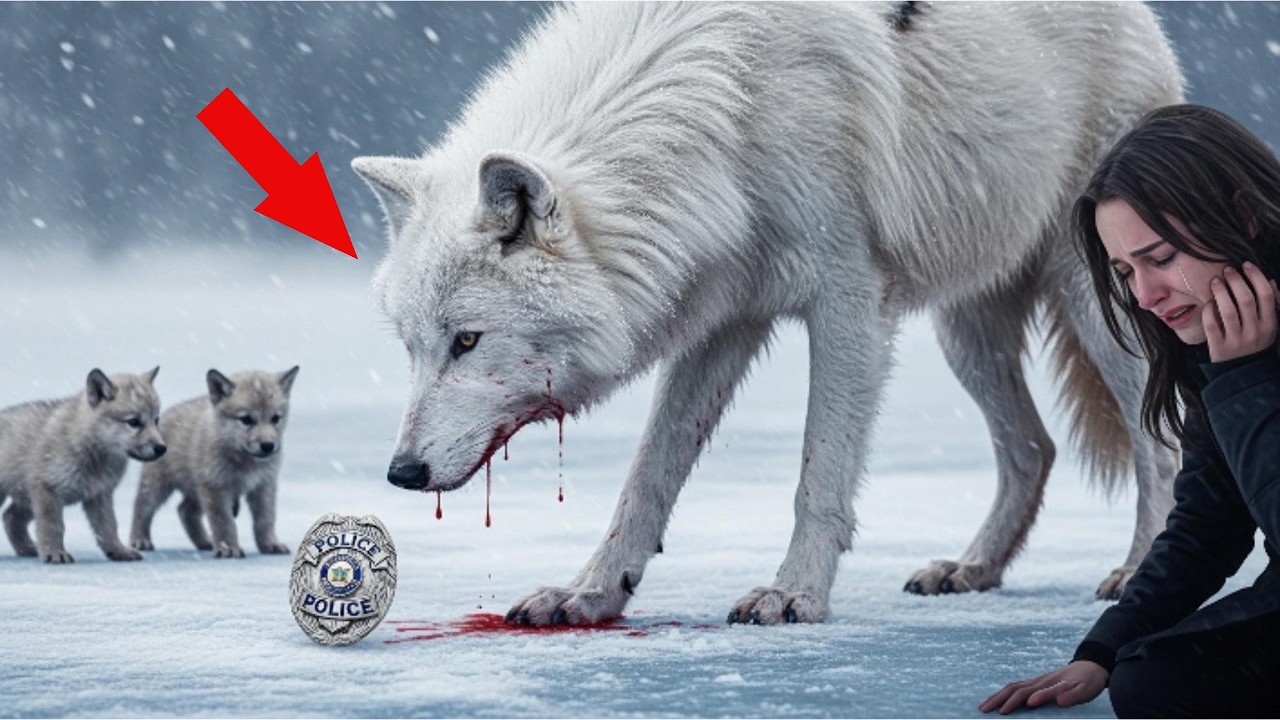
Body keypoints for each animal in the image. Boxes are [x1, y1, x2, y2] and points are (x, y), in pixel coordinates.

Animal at [0, 368, 166, 563]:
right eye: (133, 422)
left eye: (156, 420)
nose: (162, 448)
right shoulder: (48, 490)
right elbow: (53, 526)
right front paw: (55, 553)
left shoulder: (100, 494)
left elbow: (108, 527)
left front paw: (118, 551)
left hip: (26, 499)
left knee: (10, 517)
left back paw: (28, 549)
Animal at [130, 367, 299, 558]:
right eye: (246, 419)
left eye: (275, 418)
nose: (268, 446)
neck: (243, 460)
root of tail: (161, 417)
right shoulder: (216, 488)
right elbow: (224, 522)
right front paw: (229, 548)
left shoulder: (263, 486)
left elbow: (265, 520)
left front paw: (270, 544)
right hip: (158, 485)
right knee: (142, 508)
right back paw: (140, 539)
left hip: (196, 490)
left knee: (184, 511)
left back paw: (205, 542)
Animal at [353, 2, 1184, 624]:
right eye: (412, 347)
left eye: (468, 340)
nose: (400, 472)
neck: (726, 101)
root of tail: (1146, 21)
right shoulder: (724, 319)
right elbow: (647, 476)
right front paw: (589, 593)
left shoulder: (849, 303)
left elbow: (820, 474)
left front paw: (794, 595)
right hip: (966, 335)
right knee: (1034, 447)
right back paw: (971, 568)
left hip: (1091, 303)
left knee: (1156, 441)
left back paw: (1140, 568)